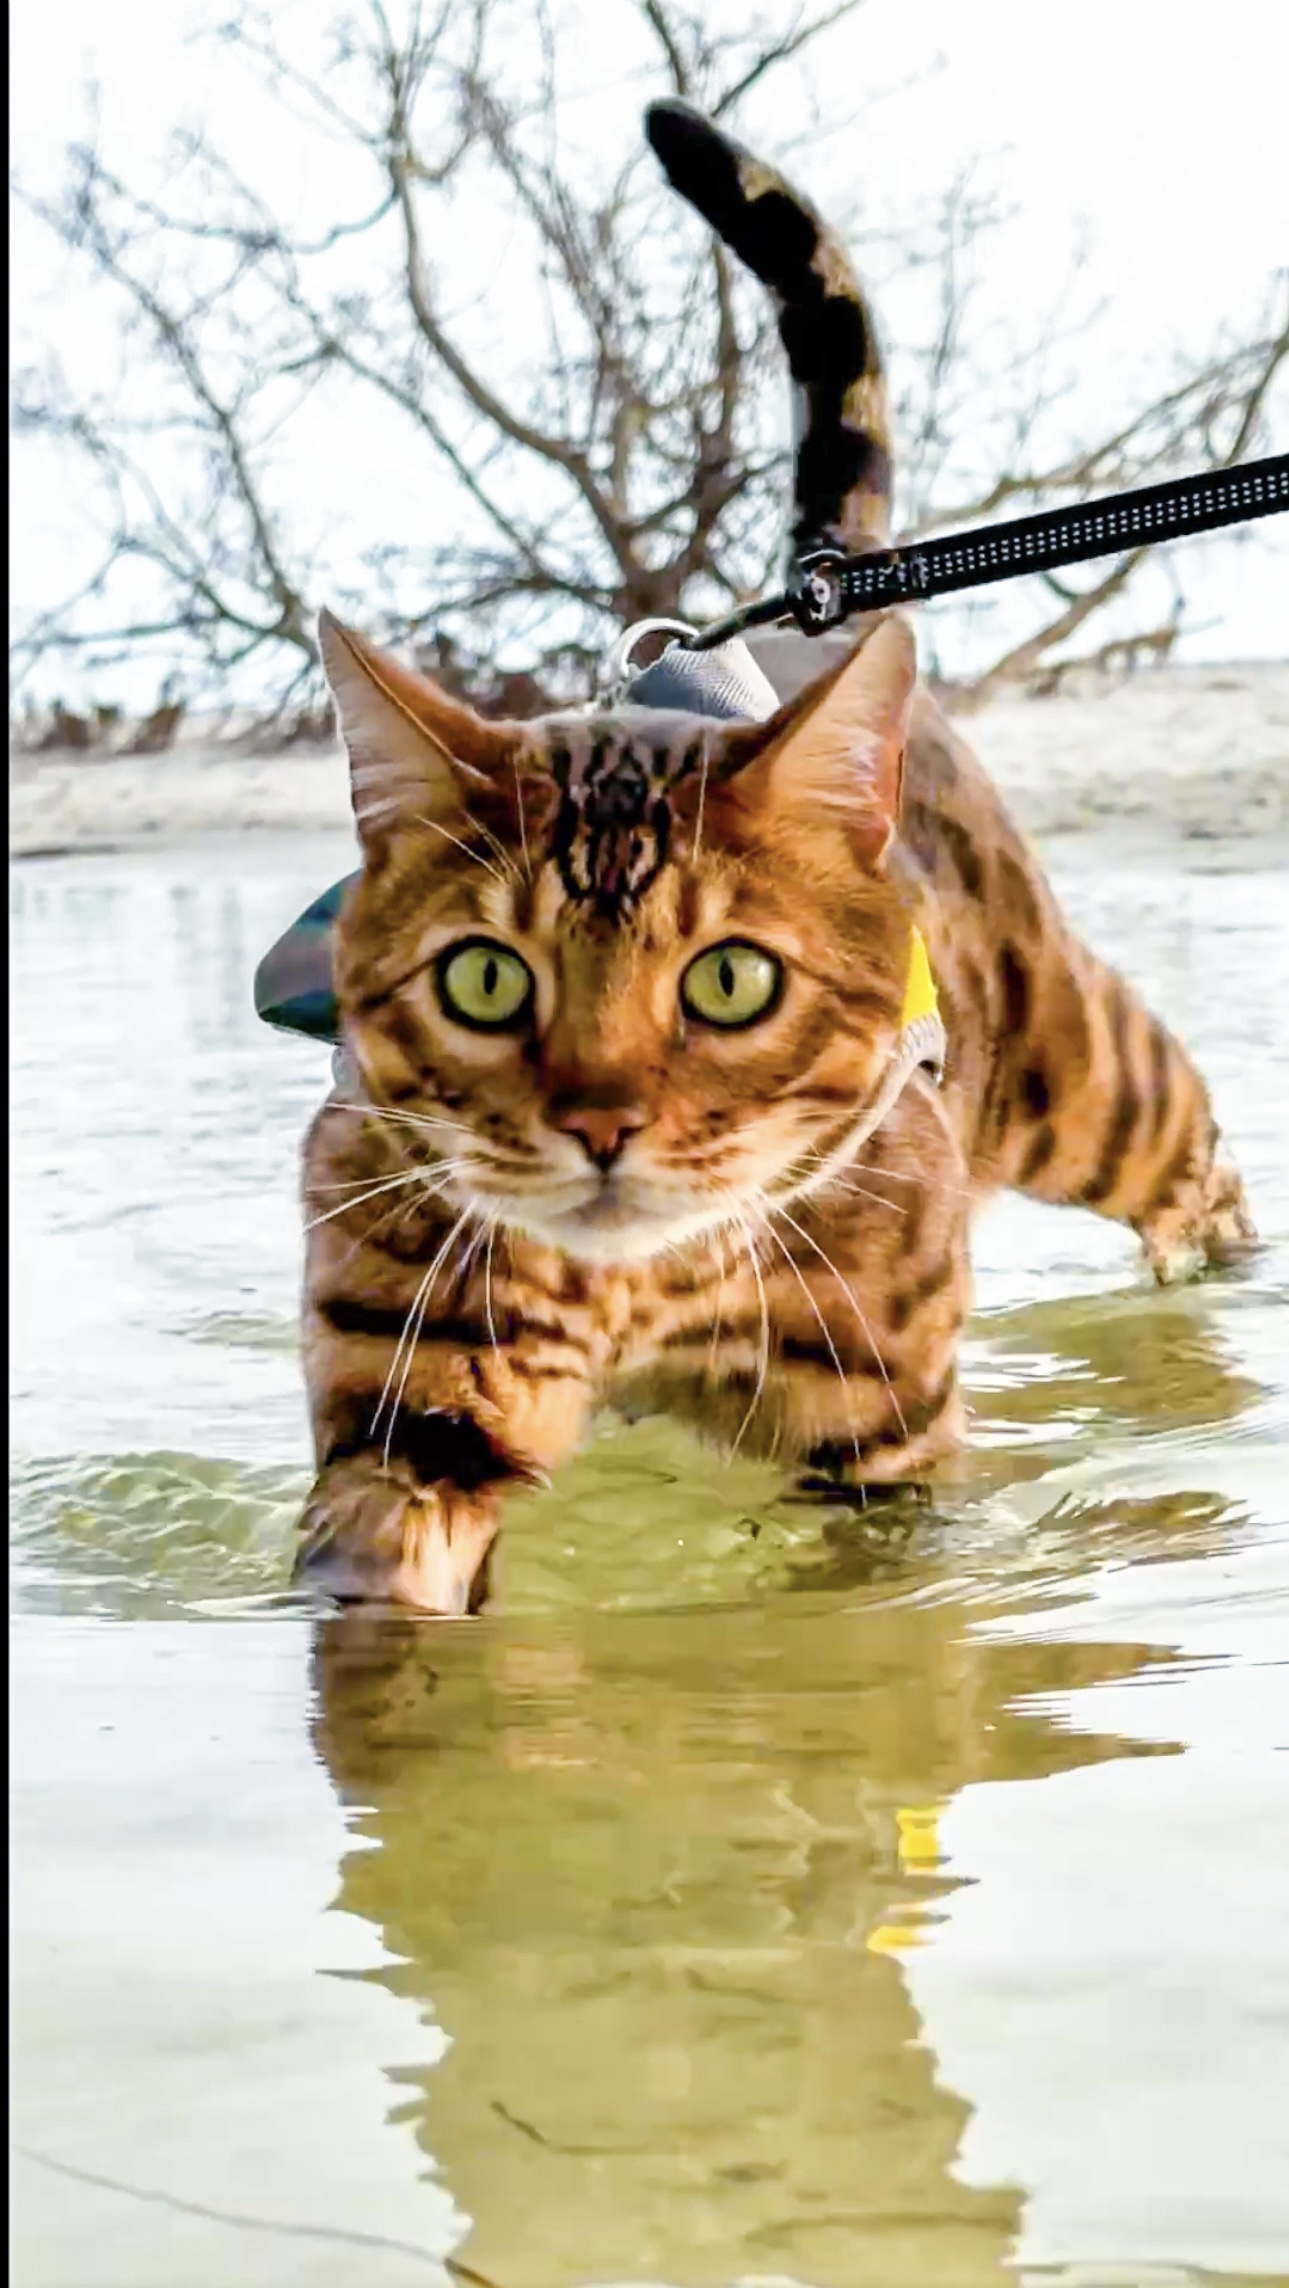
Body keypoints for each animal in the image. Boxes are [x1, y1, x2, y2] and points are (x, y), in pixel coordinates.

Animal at [289, 102, 1254, 1610]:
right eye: (484, 980)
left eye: (729, 980)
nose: (600, 1125)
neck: (631, 1295)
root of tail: (823, 598)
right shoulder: (408, 1403)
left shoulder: (884, 1438)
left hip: (1075, 1073)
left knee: (1189, 1136)